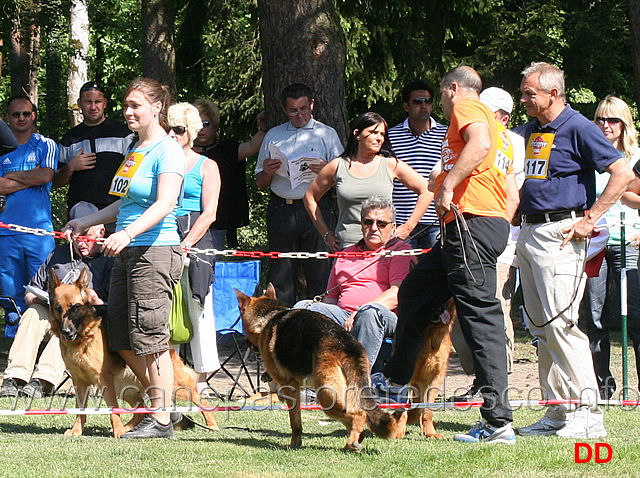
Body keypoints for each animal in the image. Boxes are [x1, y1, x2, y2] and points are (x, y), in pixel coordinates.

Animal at [47, 268, 218, 436]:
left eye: (75, 307)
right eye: (58, 308)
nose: (66, 332)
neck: (85, 336)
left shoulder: (103, 380)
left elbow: (113, 409)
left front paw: (117, 431)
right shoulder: (79, 381)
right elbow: (80, 409)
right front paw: (77, 430)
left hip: (174, 385)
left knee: (198, 397)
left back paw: (212, 424)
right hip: (123, 387)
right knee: (141, 408)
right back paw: (129, 428)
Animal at [234, 284, 404, 452]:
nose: (248, 346)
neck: (270, 316)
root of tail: (348, 344)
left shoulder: (290, 389)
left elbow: (295, 422)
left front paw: (294, 444)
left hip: (326, 396)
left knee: (357, 414)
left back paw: (352, 443)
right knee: (355, 416)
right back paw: (352, 442)